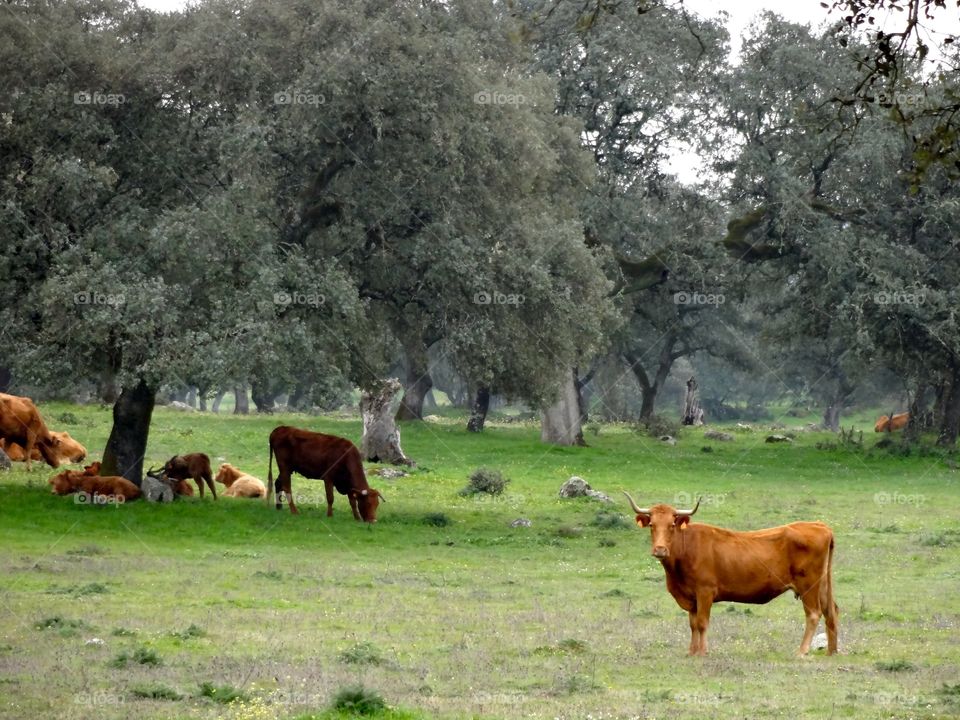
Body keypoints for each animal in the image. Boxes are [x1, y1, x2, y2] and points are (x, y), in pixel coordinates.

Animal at [620, 496, 836, 660]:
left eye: (672, 524)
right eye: (652, 525)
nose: (660, 549)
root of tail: (819, 526)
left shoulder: (705, 592)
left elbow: (702, 623)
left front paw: (702, 652)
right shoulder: (691, 597)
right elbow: (692, 624)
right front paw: (692, 651)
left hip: (808, 585)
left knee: (814, 614)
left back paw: (802, 651)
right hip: (822, 584)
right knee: (831, 612)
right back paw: (832, 651)